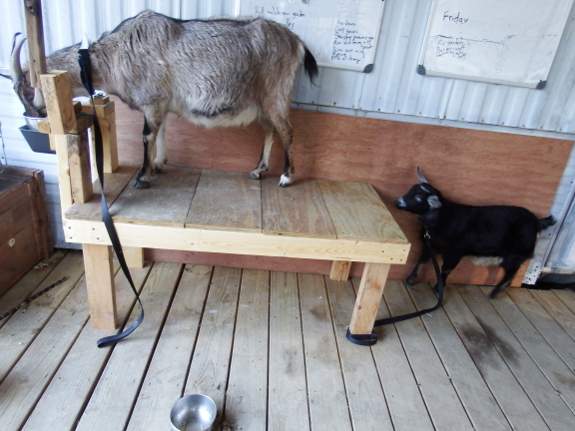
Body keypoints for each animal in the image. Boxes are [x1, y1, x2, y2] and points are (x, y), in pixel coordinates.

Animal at [396, 167, 560, 298]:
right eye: (410, 190)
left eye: (418, 199)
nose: (398, 202)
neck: (443, 218)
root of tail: (537, 222)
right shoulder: (431, 245)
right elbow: (422, 260)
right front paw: (410, 279)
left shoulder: (455, 252)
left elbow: (446, 269)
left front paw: (438, 289)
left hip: (515, 253)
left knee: (511, 273)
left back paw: (494, 293)